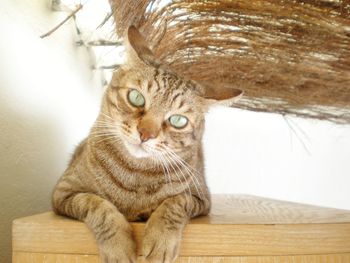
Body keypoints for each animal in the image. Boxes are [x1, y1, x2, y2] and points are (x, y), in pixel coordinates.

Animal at [52, 25, 242, 263]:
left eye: (177, 120)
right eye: (136, 98)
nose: (145, 134)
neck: (135, 173)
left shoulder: (200, 198)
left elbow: (175, 202)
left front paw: (160, 240)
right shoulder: (64, 192)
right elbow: (98, 205)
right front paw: (119, 246)